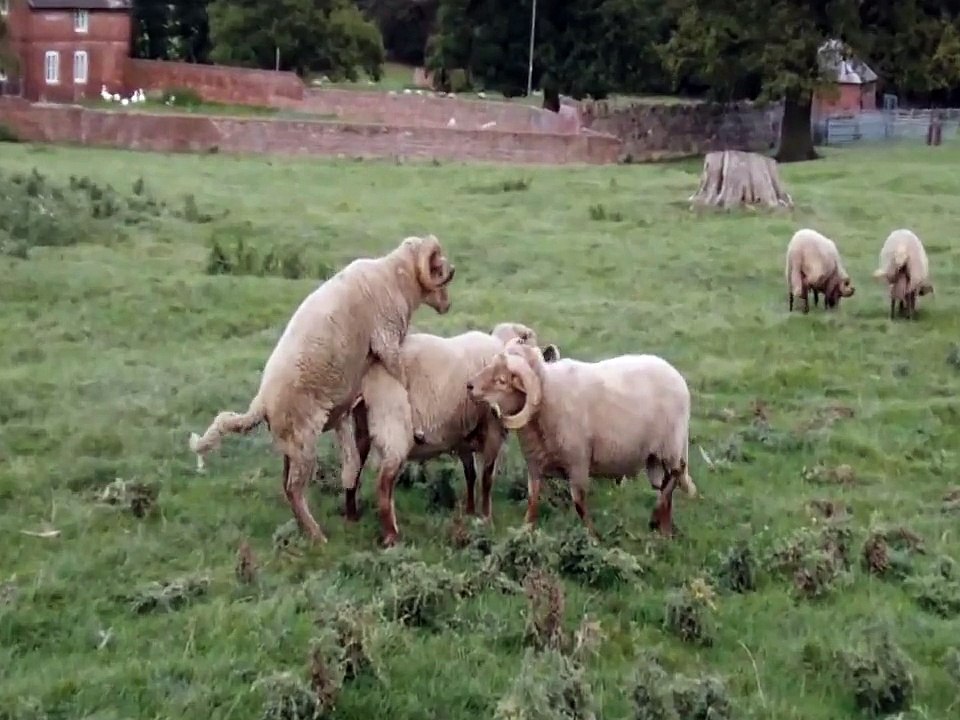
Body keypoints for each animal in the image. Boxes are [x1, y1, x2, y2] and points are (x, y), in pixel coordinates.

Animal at [187, 234, 456, 542]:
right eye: (442, 272)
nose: (447, 305)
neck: (394, 278)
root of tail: (261, 404)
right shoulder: (387, 342)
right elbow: (399, 374)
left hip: (292, 445)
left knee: (286, 484)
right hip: (303, 440)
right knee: (294, 490)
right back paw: (317, 536)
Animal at [336, 322, 560, 546]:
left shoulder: (462, 436)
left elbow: (470, 474)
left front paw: (469, 511)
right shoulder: (493, 431)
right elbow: (487, 478)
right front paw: (486, 518)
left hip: (363, 424)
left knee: (354, 466)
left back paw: (352, 516)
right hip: (393, 424)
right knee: (384, 483)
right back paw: (392, 536)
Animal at [465, 340, 697, 537]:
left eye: (502, 380)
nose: (469, 386)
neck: (547, 395)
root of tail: (674, 373)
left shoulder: (578, 463)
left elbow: (579, 502)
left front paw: (592, 536)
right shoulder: (534, 464)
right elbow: (532, 499)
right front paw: (525, 530)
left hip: (670, 447)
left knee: (674, 477)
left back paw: (661, 526)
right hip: (653, 458)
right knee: (665, 485)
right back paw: (661, 524)